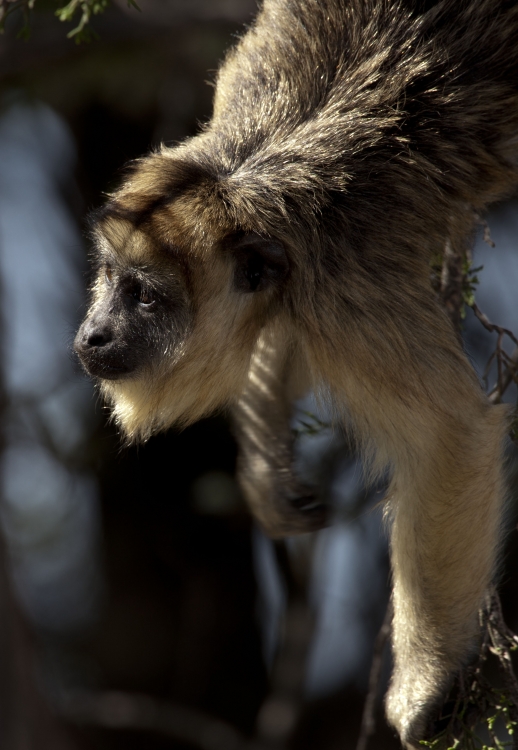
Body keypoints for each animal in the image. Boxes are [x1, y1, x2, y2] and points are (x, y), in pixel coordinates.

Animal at [75, 1, 518, 748]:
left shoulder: (342, 291)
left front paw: (425, 688)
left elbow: (450, 438)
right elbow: (272, 338)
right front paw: (266, 478)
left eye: (147, 297)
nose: (92, 334)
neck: (252, 180)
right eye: (109, 279)